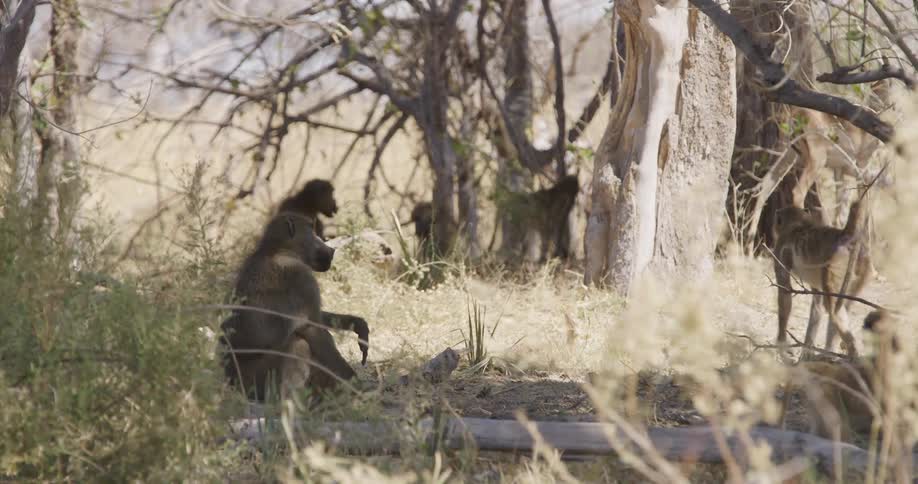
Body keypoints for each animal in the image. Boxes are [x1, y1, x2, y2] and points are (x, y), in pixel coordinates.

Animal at [218, 212, 357, 401]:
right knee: (299, 342)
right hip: (254, 379)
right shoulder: (302, 276)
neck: (275, 251)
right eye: (312, 229)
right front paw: (353, 381)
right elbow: (314, 329)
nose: (329, 248)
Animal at [773, 197, 872, 358]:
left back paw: (850, 353)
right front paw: (806, 353)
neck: (797, 225)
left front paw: (782, 343)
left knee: (834, 310)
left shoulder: (780, 248)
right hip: (863, 267)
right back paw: (832, 353)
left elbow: (784, 293)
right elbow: (817, 306)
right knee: (839, 306)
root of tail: (845, 236)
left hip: (837, 265)